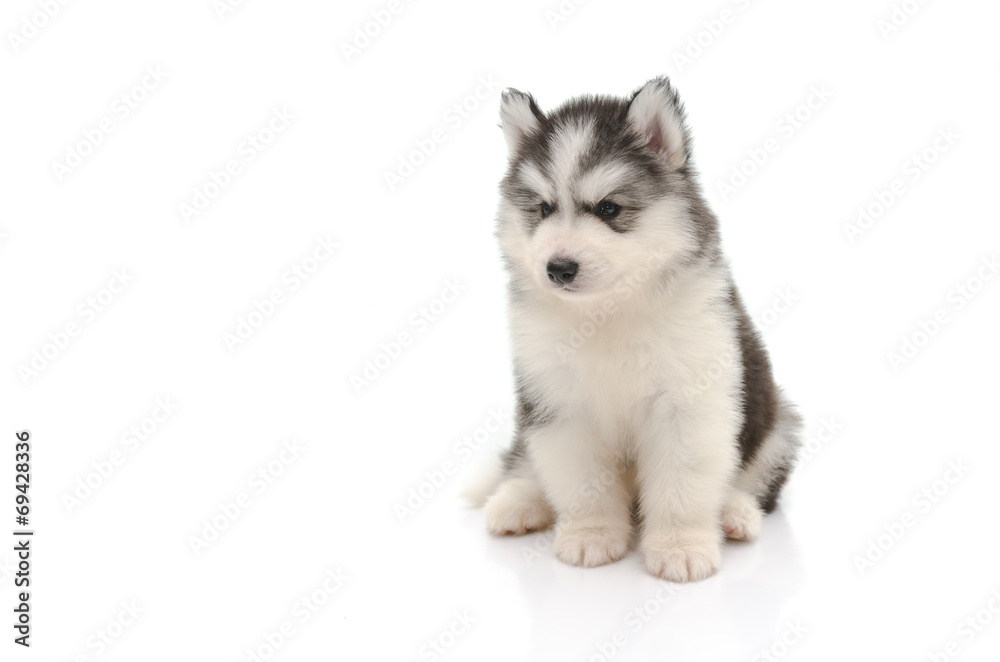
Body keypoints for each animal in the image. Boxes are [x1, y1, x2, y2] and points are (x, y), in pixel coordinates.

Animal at [478, 78, 804, 584]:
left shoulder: (688, 404)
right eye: (544, 208)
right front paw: (591, 533)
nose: (558, 268)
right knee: (524, 462)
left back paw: (735, 514)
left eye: (609, 208)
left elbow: (682, 485)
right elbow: (579, 481)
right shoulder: (559, 404)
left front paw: (681, 546)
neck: (607, 312)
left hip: (779, 426)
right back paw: (518, 501)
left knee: (752, 481)